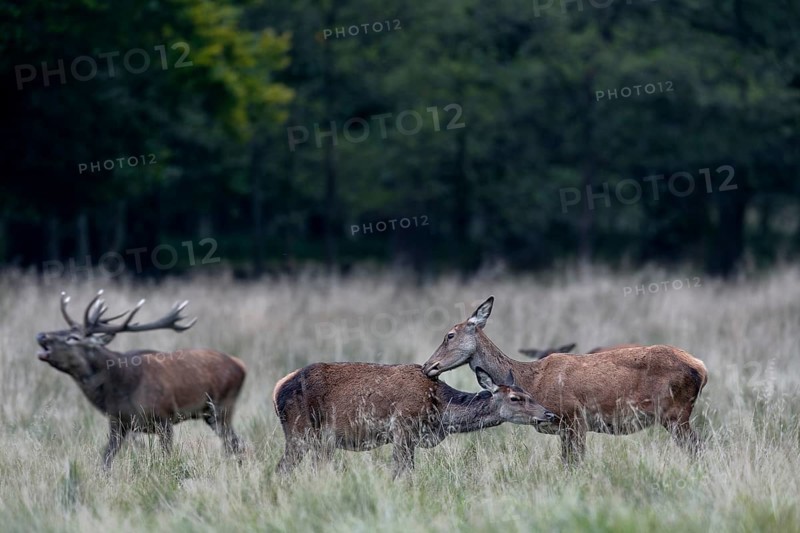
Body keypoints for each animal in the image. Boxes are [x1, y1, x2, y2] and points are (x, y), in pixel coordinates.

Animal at [35, 290, 247, 469]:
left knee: (235, 443)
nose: (41, 335)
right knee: (235, 443)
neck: (120, 387)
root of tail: (241, 365)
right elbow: (106, 459)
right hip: (210, 414)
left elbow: (167, 456)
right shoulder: (117, 422)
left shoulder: (164, 417)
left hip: (222, 407)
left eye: (73, 337)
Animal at [273, 362, 555, 478]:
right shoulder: (402, 428)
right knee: (281, 468)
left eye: (529, 393)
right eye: (516, 398)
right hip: (299, 430)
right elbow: (402, 471)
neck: (439, 412)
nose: (548, 413)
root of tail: (277, 390)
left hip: (320, 440)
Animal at [421, 297, 708, 464]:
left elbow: (574, 464)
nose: (427, 366)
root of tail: (701, 369)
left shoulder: (574, 417)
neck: (533, 380)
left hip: (675, 413)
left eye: (449, 335)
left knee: (698, 448)